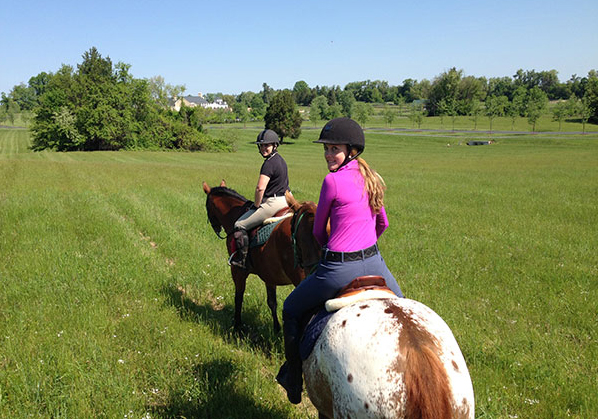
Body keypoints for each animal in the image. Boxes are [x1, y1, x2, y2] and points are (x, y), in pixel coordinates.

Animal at [203, 179, 308, 334]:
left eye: (207, 207)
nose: (217, 229)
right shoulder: (269, 273)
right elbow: (272, 302)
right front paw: (276, 329)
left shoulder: (237, 270)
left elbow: (238, 296)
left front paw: (237, 326)